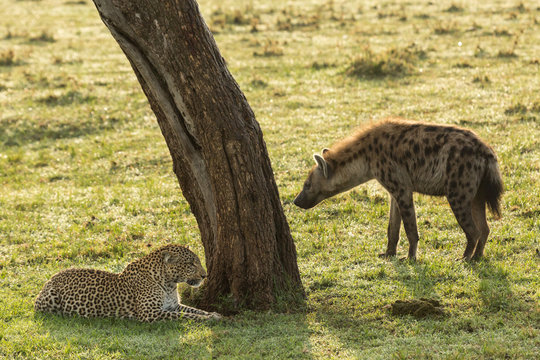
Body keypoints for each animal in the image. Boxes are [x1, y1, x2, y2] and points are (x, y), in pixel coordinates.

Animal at [34, 243, 221, 322]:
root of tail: (51, 277)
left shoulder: (173, 306)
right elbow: (186, 316)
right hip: (50, 299)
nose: (205, 275)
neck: (168, 284)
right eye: (191, 264)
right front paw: (211, 319)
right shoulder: (150, 313)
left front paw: (214, 314)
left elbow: (194, 310)